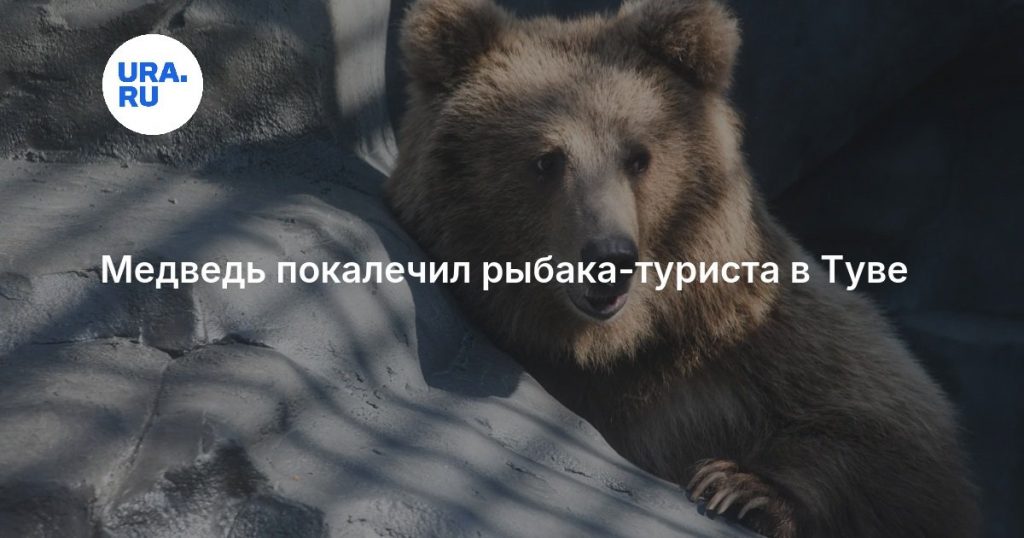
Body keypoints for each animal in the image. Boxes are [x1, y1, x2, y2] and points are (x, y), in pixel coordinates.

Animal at [386, 0, 980, 536]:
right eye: (546, 160)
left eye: (638, 157)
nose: (610, 258)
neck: (615, 344)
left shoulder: (750, 338)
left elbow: (895, 436)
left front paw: (741, 488)